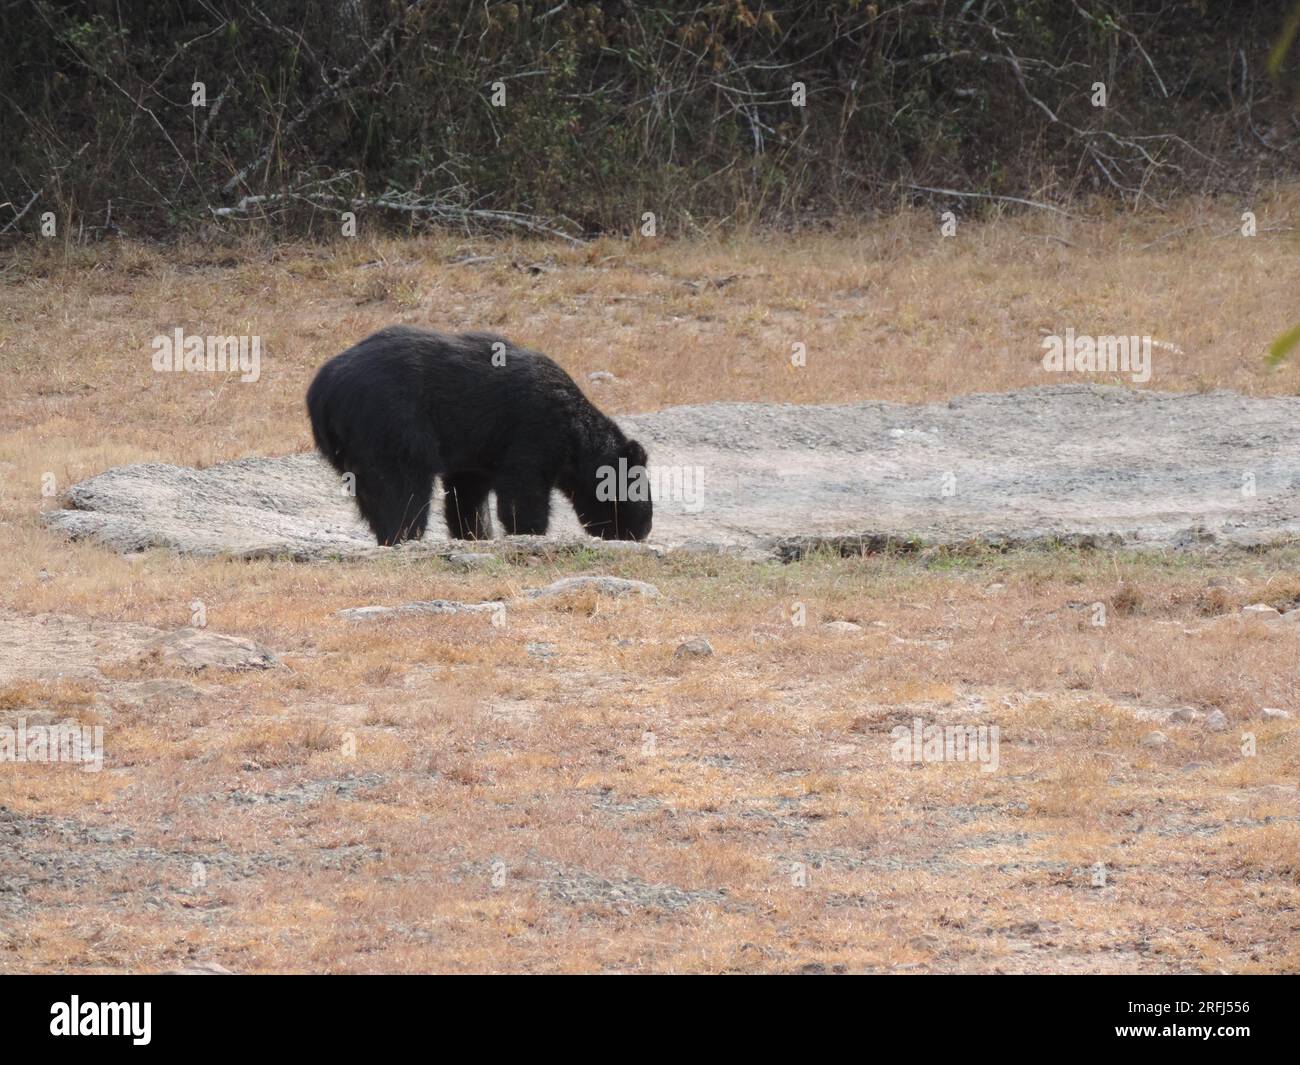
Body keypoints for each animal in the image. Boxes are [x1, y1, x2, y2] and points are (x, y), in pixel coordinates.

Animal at [306, 326, 652, 545]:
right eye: (638, 496)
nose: (642, 530)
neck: (575, 435)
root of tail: (322, 391)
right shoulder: (534, 428)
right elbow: (523, 486)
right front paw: (529, 533)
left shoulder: (478, 452)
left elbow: (467, 493)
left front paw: (475, 534)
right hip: (391, 420)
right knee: (404, 482)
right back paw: (404, 534)